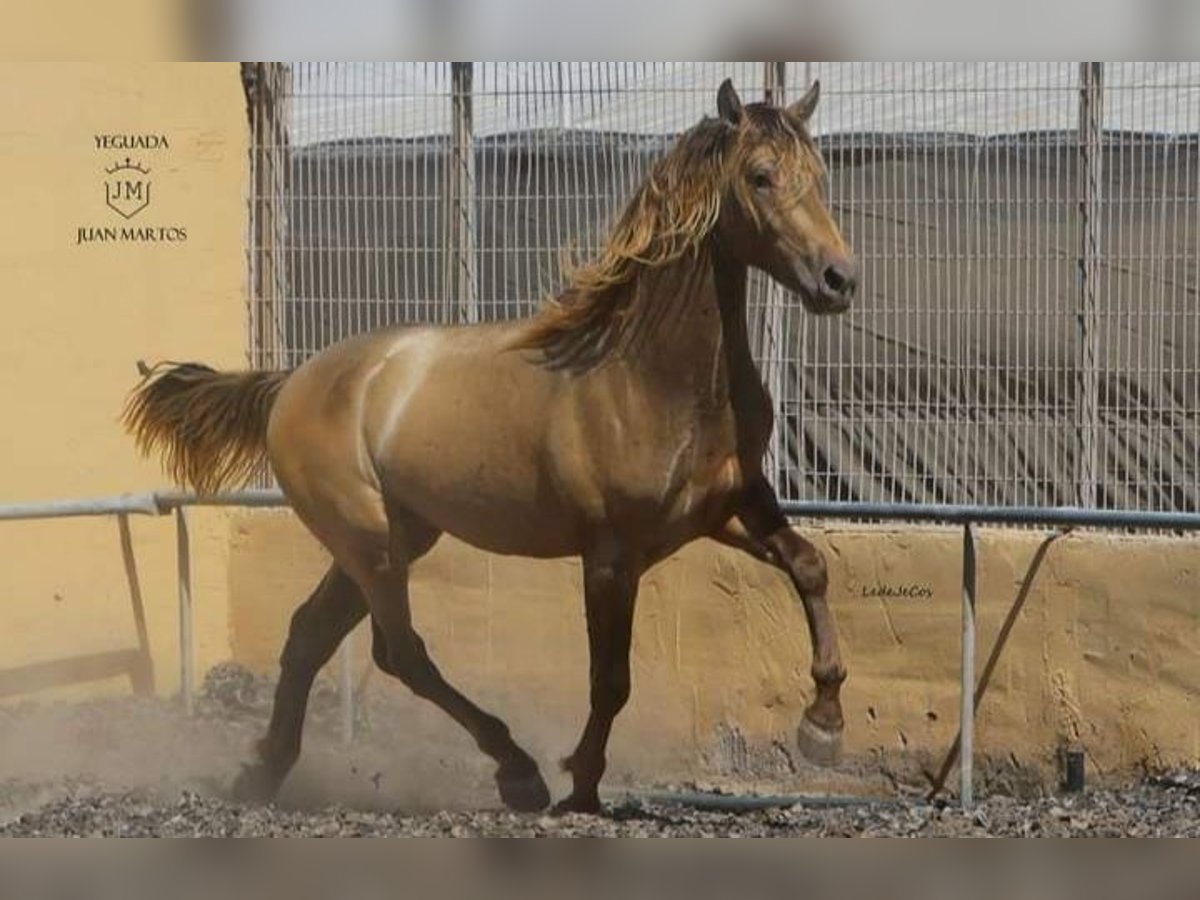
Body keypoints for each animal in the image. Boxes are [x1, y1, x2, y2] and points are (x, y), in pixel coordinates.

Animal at [124, 79, 854, 816]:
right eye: (760, 176)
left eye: (821, 176)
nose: (838, 280)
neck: (650, 375)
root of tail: (290, 385)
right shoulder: (612, 553)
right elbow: (611, 678)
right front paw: (581, 784)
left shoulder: (728, 508)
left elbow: (811, 567)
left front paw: (822, 726)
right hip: (369, 541)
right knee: (398, 651)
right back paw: (517, 771)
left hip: (396, 535)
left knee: (309, 634)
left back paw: (263, 773)